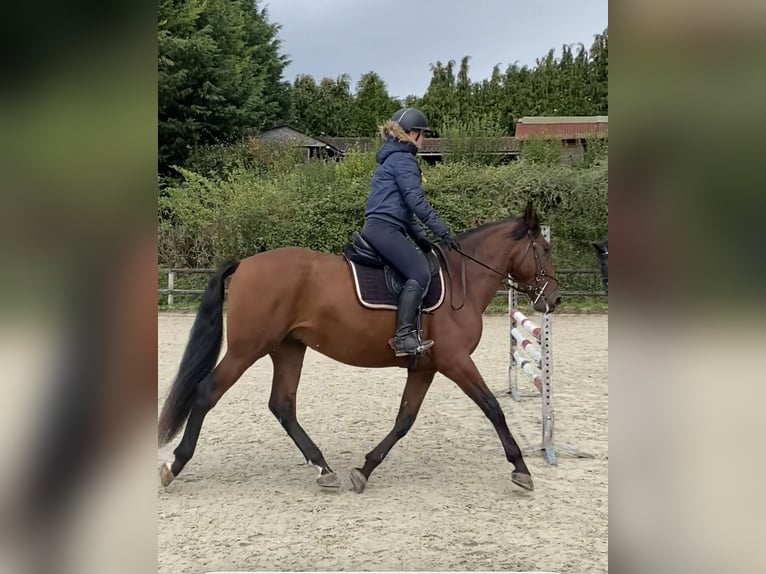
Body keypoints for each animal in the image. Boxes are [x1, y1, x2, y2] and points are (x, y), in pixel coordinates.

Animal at [158, 203, 562, 493]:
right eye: (543, 248)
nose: (554, 299)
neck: (462, 282)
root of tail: (244, 265)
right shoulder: (456, 361)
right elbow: (493, 408)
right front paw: (521, 469)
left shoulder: (425, 367)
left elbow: (404, 420)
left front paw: (364, 469)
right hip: (247, 349)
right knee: (207, 392)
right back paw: (174, 465)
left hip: (288, 348)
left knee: (282, 405)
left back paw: (324, 469)